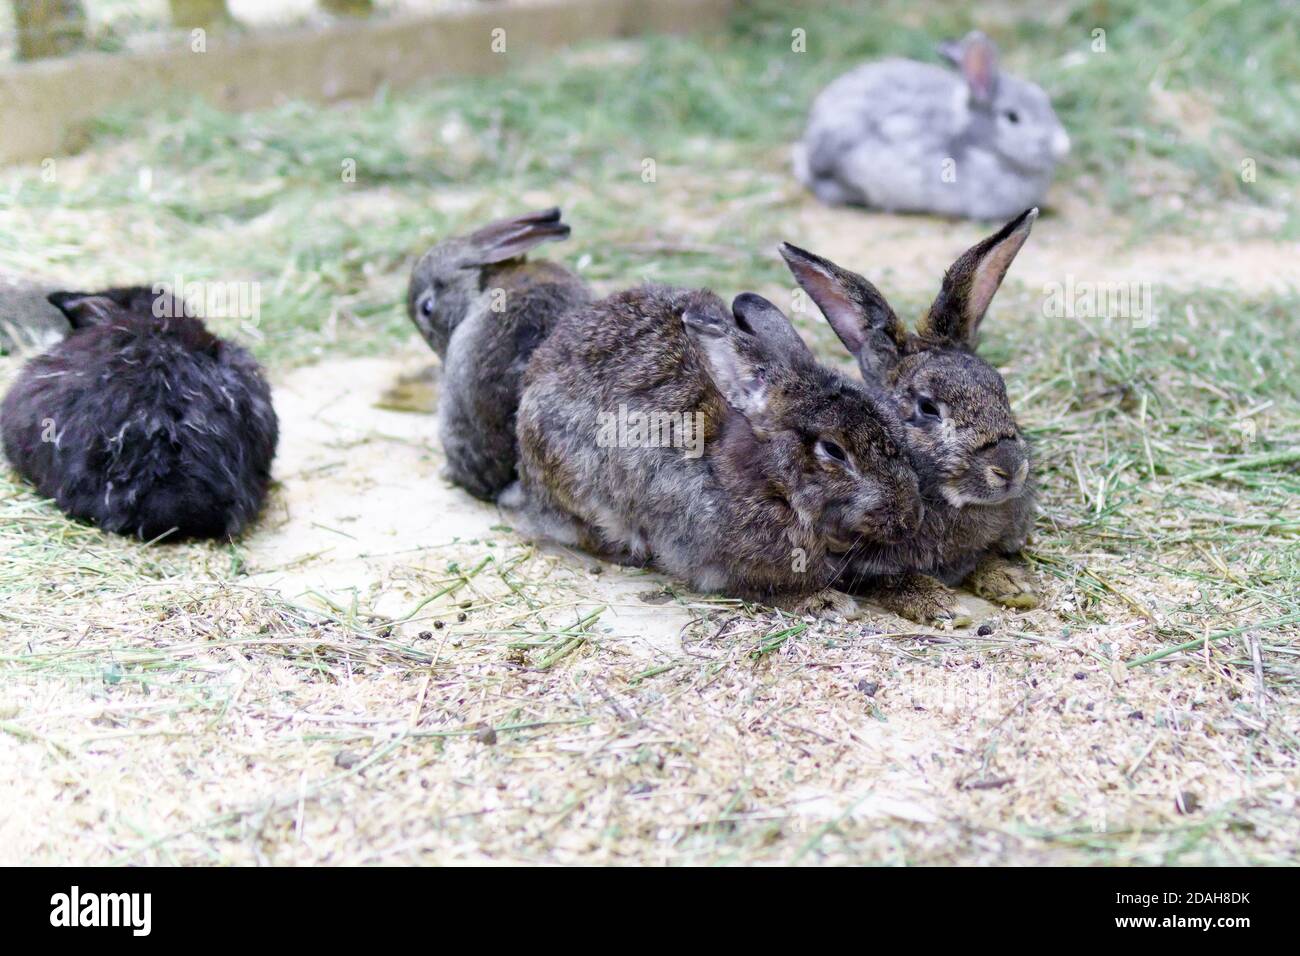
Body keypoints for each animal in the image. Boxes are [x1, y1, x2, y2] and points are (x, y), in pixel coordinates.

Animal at [780, 208, 1041, 624]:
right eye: (928, 408)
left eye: (1001, 389)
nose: (1010, 469)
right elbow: (889, 580)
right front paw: (939, 603)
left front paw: (1014, 584)